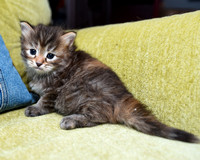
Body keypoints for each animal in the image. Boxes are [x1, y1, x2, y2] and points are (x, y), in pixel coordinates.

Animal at [19, 21, 198, 143]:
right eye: (33, 51)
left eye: (50, 55)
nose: (38, 63)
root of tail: (121, 98)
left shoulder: (55, 90)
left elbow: (44, 101)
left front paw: (35, 108)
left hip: (84, 94)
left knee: (101, 117)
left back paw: (70, 120)